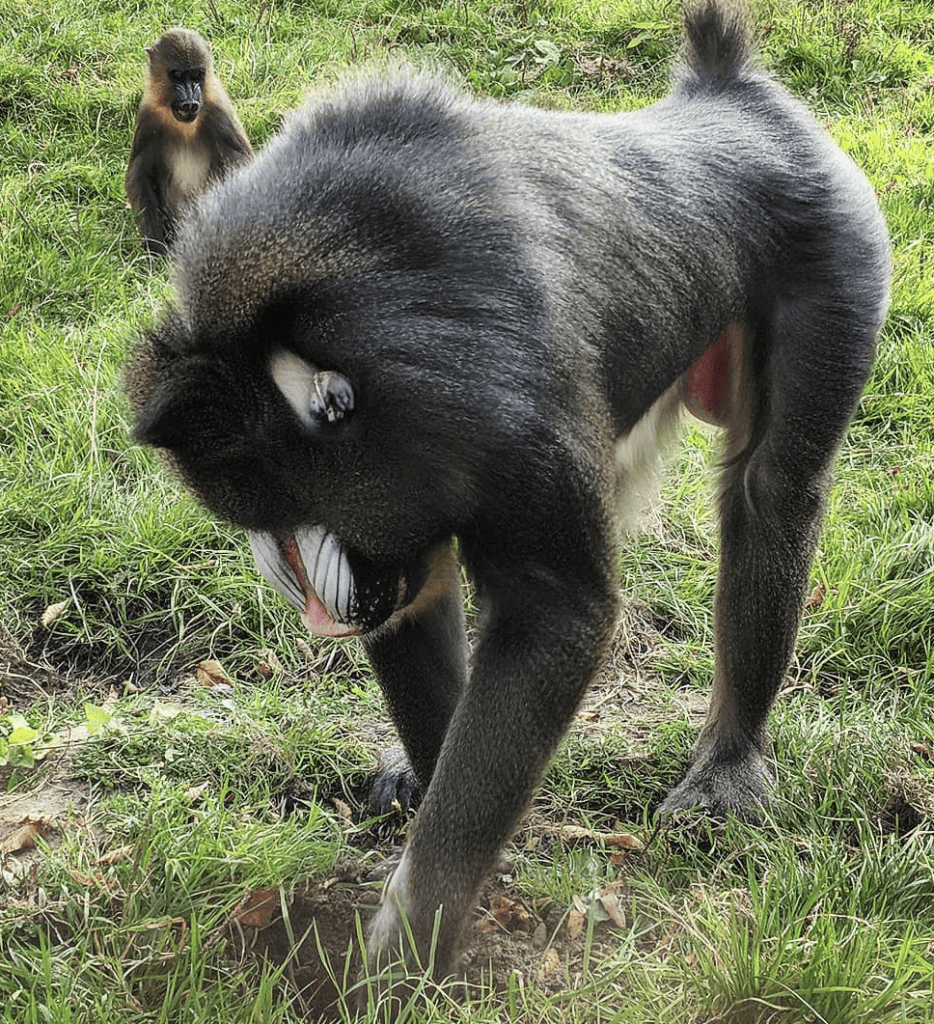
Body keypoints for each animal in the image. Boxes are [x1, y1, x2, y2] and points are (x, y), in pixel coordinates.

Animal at [127, 29, 253, 256]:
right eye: (177, 75)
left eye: (196, 75)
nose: (189, 102)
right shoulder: (148, 118)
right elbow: (139, 175)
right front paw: (155, 248)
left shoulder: (220, 115)